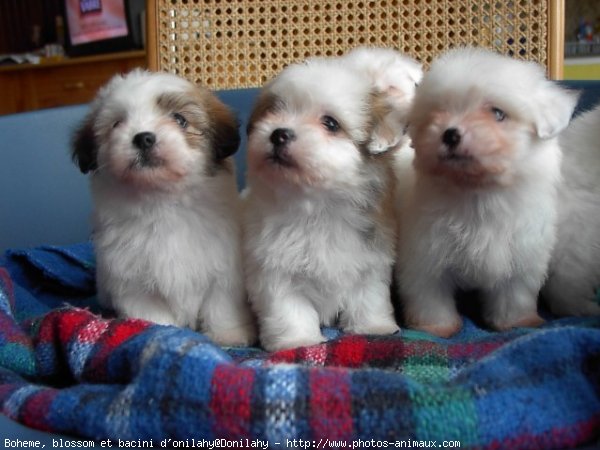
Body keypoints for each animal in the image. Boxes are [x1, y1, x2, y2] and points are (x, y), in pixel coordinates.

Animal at [72, 69, 255, 344]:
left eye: (180, 119)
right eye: (117, 124)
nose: (143, 137)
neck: (162, 204)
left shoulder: (223, 270)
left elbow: (221, 305)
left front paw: (228, 334)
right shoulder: (132, 281)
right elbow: (152, 314)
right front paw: (161, 335)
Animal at [243, 53, 418, 352]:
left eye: (331, 123)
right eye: (273, 112)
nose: (278, 133)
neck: (318, 207)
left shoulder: (369, 261)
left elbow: (369, 296)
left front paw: (373, 327)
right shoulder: (275, 269)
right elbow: (289, 308)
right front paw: (298, 340)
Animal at [396, 48, 580, 338]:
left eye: (498, 113)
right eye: (437, 113)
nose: (450, 134)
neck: (477, 194)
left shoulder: (522, 254)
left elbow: (514, 294)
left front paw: (515, 322)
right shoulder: (424, 256)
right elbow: (429, 296)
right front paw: (436, 327)